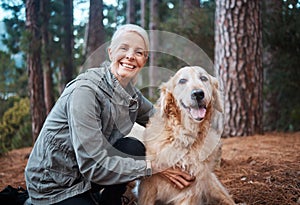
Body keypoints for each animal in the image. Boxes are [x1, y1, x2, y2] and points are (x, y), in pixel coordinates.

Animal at [138, 66, 234, 204]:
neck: (185, 136)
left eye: (203, 78)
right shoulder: (148, 187)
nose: (198, 94)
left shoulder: (190, 190)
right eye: (182, 81)